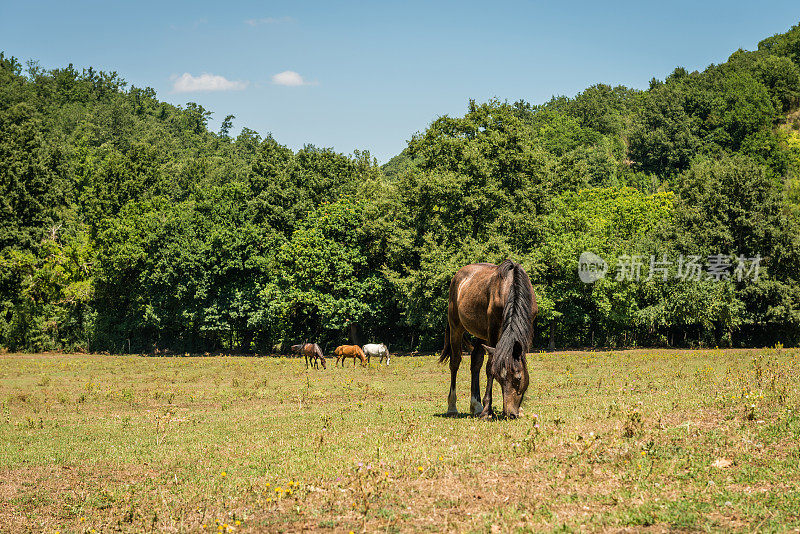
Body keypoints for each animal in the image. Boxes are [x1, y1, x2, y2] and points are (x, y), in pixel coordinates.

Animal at [438, 262, 536, 420]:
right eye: (499, 379)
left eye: (518, 378)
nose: (510, 413)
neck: (510, 285)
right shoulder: (493, 331)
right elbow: (490, 367)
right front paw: (486, 411)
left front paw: (519, 408)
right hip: (455, 328)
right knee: (455, 363)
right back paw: (452, 407)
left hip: (481, 334)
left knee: (475, 363)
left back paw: (476, 406)